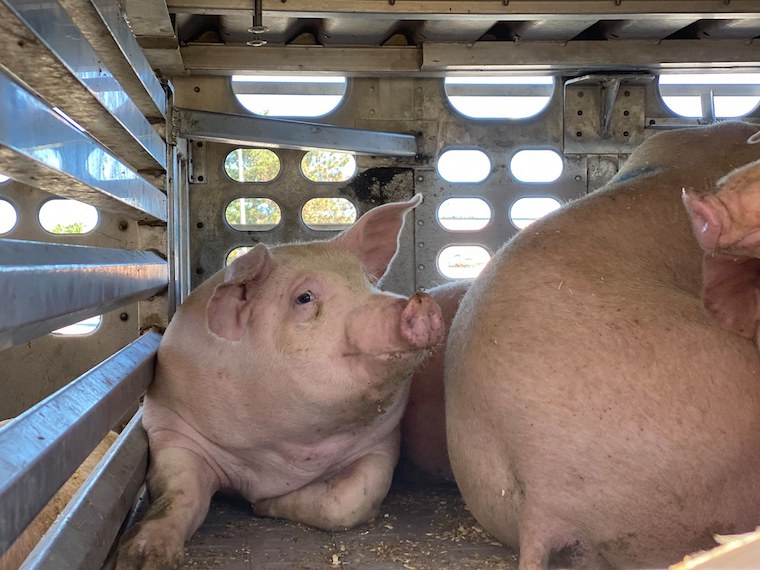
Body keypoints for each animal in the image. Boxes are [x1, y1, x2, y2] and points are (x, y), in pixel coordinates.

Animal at [115, 195, 443, 570]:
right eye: (304, 298)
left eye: (369, 285)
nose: (419, 302)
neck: (286, 453)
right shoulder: (170, 427)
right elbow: (179, 494)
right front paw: (141, 559)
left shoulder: (383, 441)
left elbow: (351, 499)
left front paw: (262, 507)